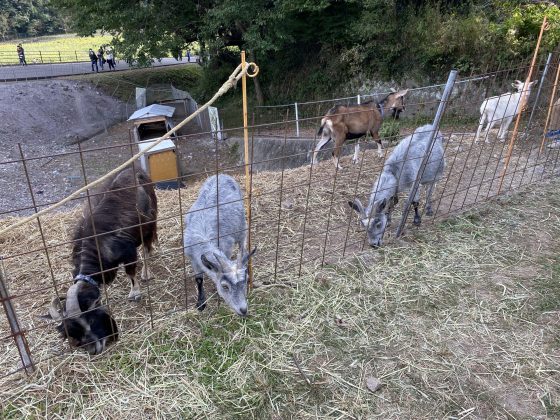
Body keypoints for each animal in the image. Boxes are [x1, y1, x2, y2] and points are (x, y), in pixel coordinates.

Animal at [43, 167, 158, 354]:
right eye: (73, 331)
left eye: (89, 320)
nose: (94, 349)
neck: (96, 244)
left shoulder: (129, 252)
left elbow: (130, 272)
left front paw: (135, 293)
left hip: (149, 225)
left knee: (147, 249)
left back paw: (146, 273)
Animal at [183, 173, 255, 316]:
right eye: (224, 286)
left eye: (245, 281)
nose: (243, 310)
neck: (203, 238)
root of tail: (221, 175)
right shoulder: (192, 258)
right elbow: (198, 279)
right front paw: (201, 304)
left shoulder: (226, 248)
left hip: (242, 227)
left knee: (243, 245)